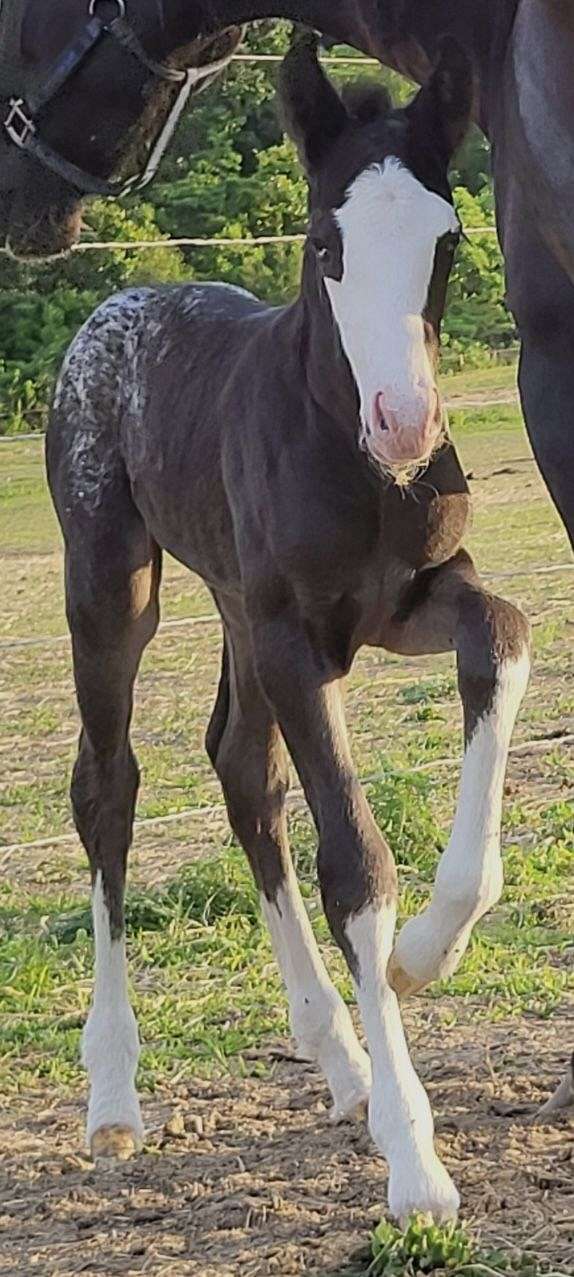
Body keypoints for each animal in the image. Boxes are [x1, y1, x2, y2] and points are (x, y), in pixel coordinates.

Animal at [4, 0, 571, 1121]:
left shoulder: (404, 604)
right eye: (324, 243)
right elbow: (353, 862)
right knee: (107, 787)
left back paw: (337, 1057)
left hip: (230, 602)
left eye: (446, 239)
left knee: (241, 772)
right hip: (114, 590)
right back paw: (115, 1093)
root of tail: (115, 308)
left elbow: (504, 629)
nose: (405, 426)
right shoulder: (295, 637)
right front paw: (412, 1141)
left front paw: (427, 953)